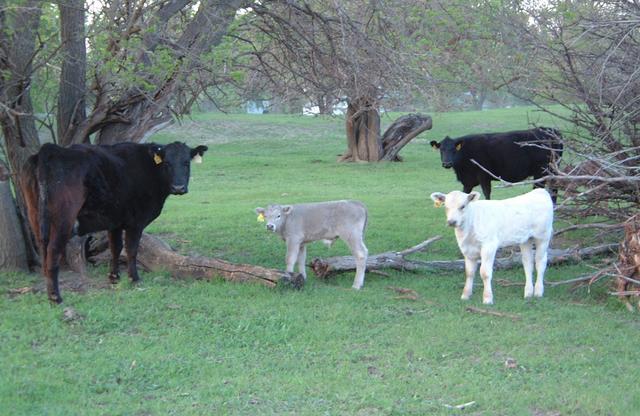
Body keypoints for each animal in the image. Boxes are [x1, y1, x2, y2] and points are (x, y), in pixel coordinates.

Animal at [21, 141, 208, 303]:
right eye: (167, 163)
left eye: (186, 163)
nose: (178, 187)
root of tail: (51, 149)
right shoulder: (136, 222)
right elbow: (131, 249)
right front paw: (134, 278)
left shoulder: (115, 220)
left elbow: (115, 248)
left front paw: (114, 277)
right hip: (63, 220)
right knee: (53, 251)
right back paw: (55, 297)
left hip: (35, 216)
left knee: (43, 248)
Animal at [430, 127, 563, 202]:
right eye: (441, 150)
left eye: (454, 150)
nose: (447, 163)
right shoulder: (467, 181)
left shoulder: (483, 175)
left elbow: (486, 193)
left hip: (542, 170)